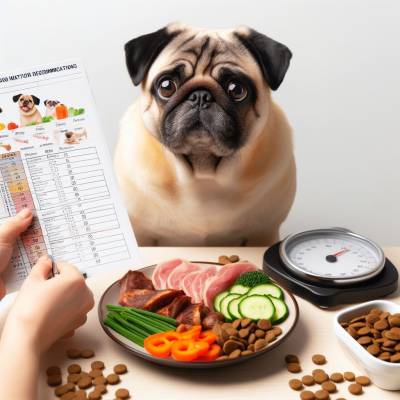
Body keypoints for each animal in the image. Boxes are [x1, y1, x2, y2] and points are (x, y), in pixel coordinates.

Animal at [114, 24, 296, 247]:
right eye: (167, 87)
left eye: (237, 90)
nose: (200, 96)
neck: (202, 170)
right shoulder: (141, 234)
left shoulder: (263, 232)